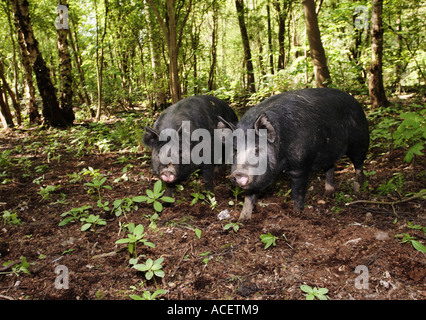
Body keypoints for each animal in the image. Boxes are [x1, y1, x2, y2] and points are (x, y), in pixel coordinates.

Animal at [220, 89, 370, 221]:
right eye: (234, 149)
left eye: (257, 149)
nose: (237, 173)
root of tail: (354, 100)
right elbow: (249, 197)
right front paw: (242, 219)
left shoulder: (301, 165)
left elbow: (297, 191)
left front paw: (296, 213)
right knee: (330, 167)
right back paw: (328, 194)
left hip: (360, 141)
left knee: (358, 163)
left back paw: (359, 187)